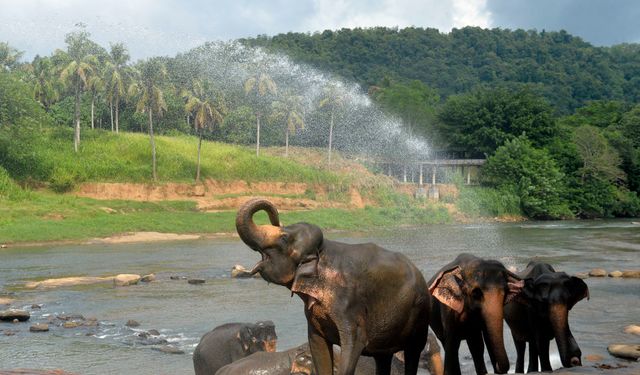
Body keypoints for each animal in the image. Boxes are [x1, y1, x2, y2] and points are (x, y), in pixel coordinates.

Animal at [235, 198, 430, 374]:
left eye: (284, 238)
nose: (277, 219)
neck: (323, 252)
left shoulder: (349, 305)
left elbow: (354, 343)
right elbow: (317, 346)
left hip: (420, 315)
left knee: (413, 351)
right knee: (383, 357)